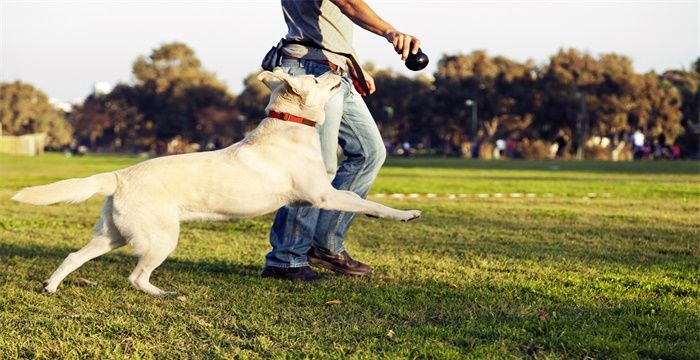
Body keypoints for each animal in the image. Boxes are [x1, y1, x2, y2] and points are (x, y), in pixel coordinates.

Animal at [13, 70, 422, 296]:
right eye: (317, 78)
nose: (339, 72)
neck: (289, 126)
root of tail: (119, 175)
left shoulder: (310, 199)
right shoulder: (323, 195)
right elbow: (367, 202)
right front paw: (405, 214)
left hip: (112, 235)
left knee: (74, 256)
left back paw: (51, 286)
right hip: (161, 238)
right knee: (136, 276)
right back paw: (163, 293)